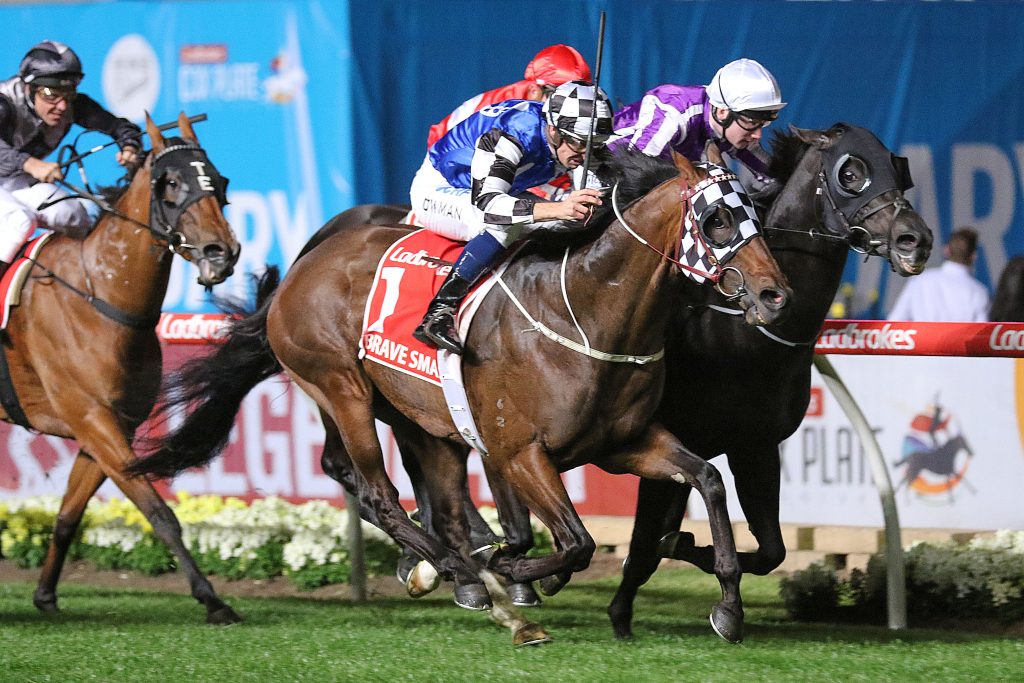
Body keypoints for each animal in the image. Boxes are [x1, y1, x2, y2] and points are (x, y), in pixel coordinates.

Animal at [3, 113, 242, 624]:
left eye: (219, 181)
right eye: (170, 183)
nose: (221, 252)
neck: (99, 293)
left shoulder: (108, 428)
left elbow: (67, 516)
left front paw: (46, 595)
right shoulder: (92, 419)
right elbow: (160, 513)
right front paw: (212, 599)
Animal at [129, 149, 793, 644]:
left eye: (756, 216)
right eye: (717, 220)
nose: (774, 295)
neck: (588, 312)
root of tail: (302, 264)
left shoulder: (625, 442)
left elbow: (707, 477)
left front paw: (728, 605)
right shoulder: (520, 452)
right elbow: (575, 542)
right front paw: (513, 568)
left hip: (415, 416)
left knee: (409, 493)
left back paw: (462, 572)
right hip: (341, 387)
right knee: (379, 492)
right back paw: (461, 573)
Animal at [605, 123, 933, 639]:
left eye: (898, 167)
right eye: (851, 173)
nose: (913, 240)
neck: (737, 336)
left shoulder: (755, 446)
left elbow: (771, 550)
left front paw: (688, 551)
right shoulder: (660, 439)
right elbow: (641, 547)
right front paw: (625, 609)